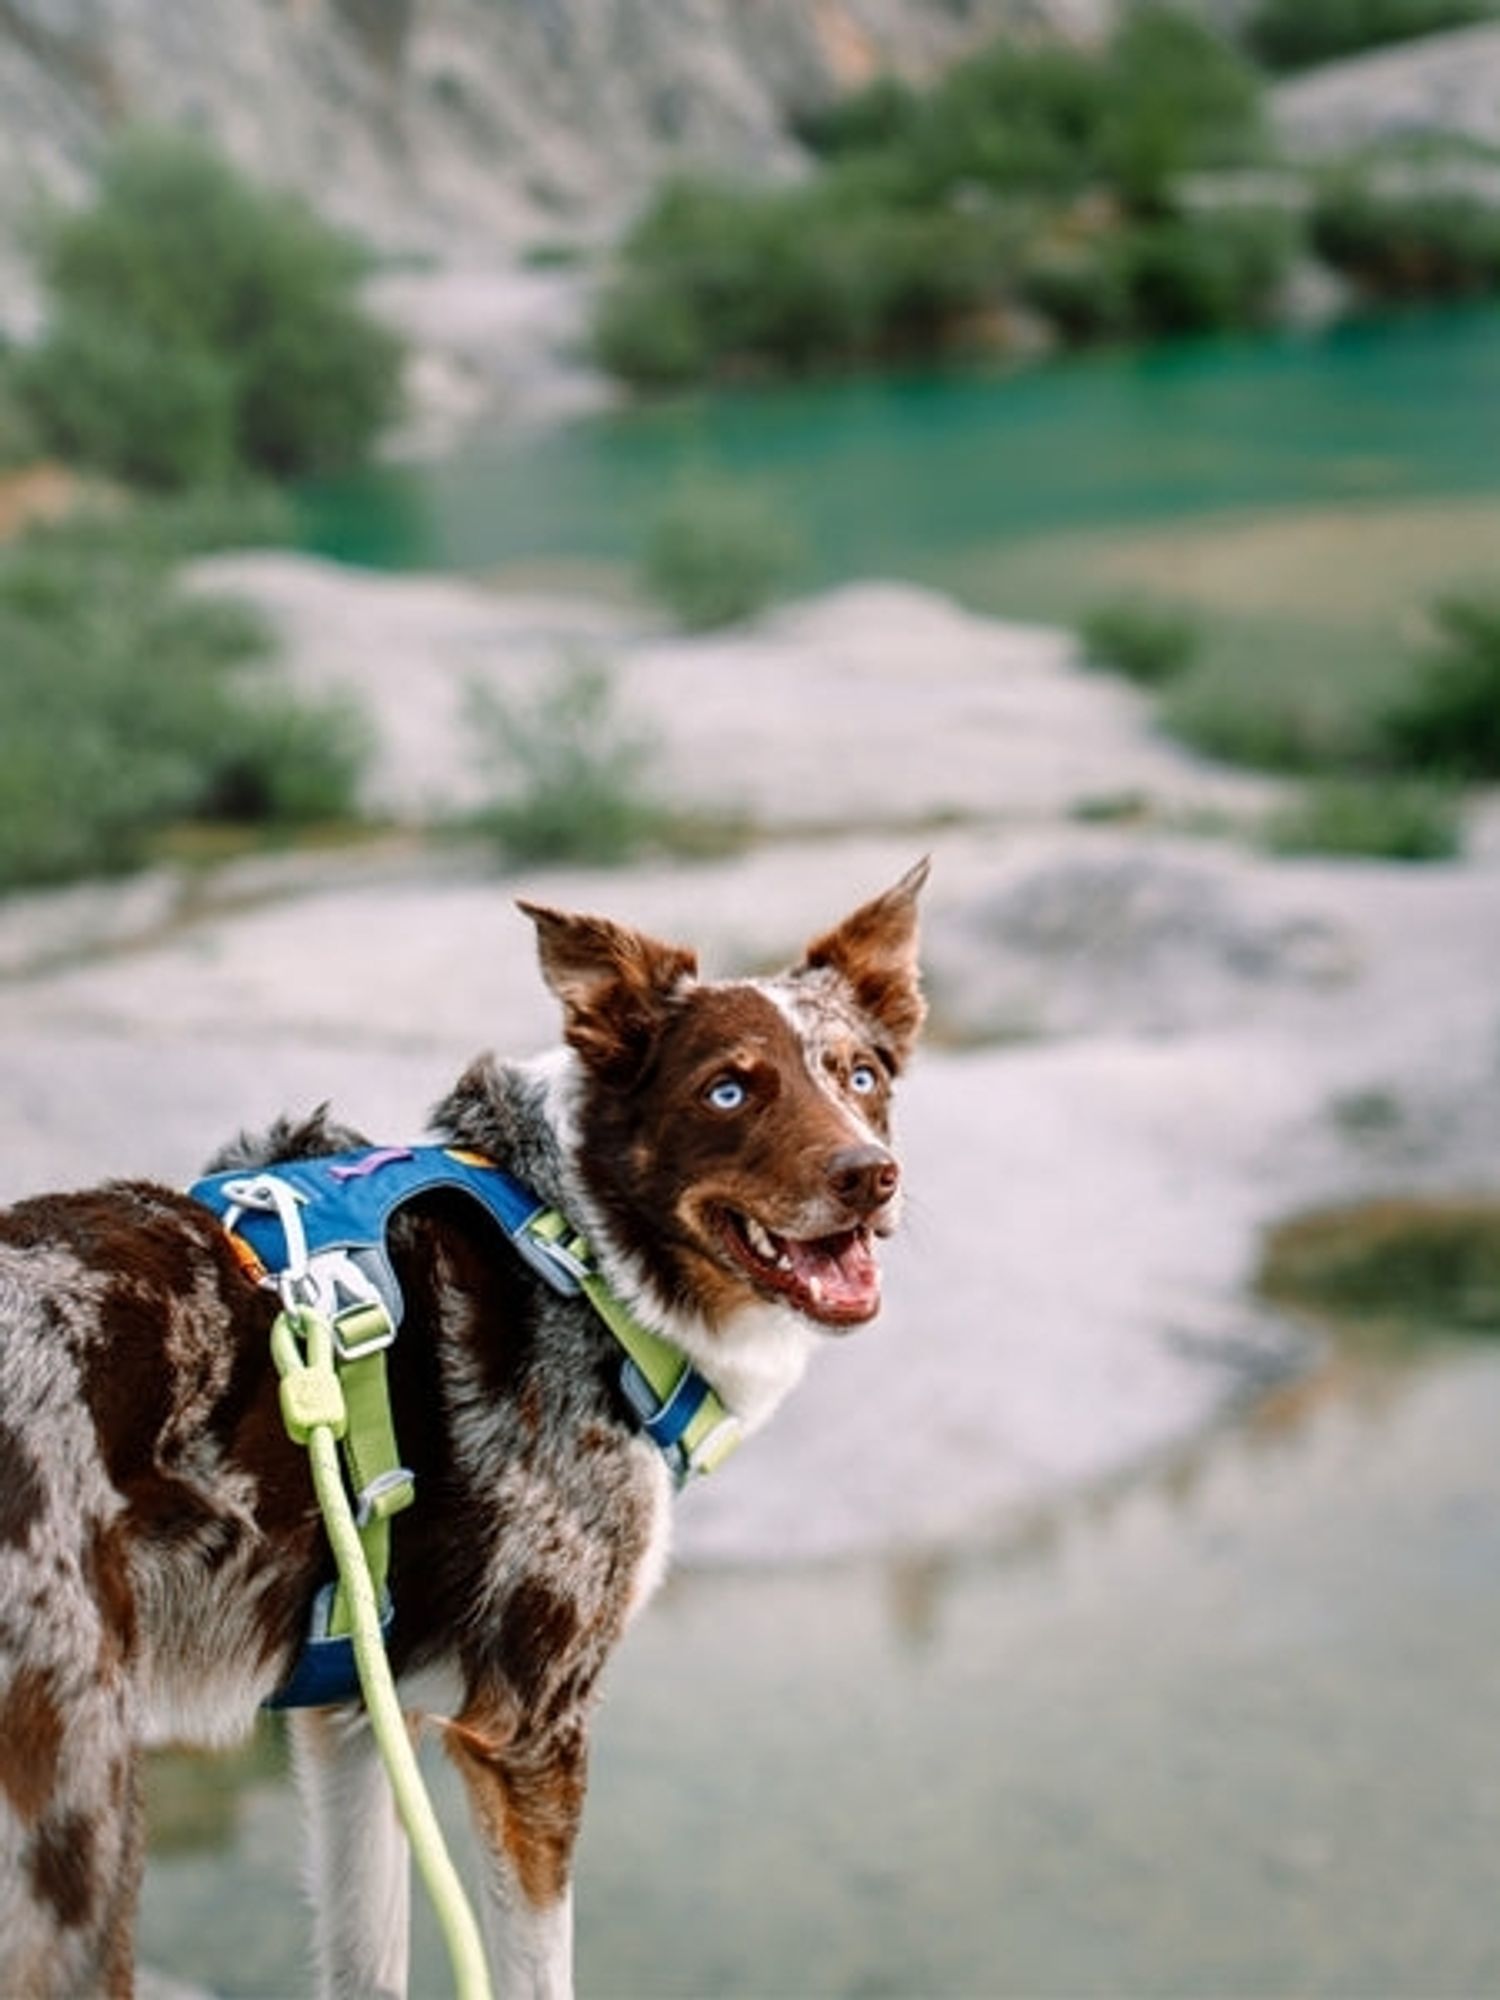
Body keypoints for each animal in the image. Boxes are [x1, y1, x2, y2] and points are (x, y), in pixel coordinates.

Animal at [0, 868, 928, 2000]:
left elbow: (368, 1961)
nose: (869, 1174)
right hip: (76, 1828)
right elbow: (536, 1970)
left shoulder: (354, 1708)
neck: (579, 1242)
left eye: (862, 1075)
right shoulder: (530, 1727)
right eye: (727, 1091)